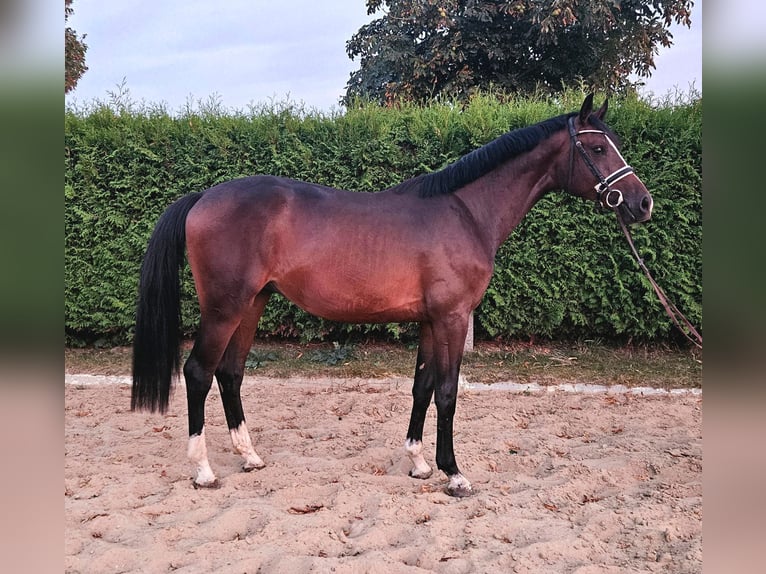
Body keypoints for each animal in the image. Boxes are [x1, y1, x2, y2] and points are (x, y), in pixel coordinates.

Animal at [130, 95, 656, 500]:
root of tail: (202, 198)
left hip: (252, 305)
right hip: (225, 307)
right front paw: (453, 474)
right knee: (199, 372)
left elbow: (422, 387)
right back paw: (203, 471)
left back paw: (250, 457)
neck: (465, 211)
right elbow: (448, 392)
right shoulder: (452, 318)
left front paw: (419, 463)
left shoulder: (429, 320)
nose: (642, 203)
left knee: (230, 373)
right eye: (596, 147)